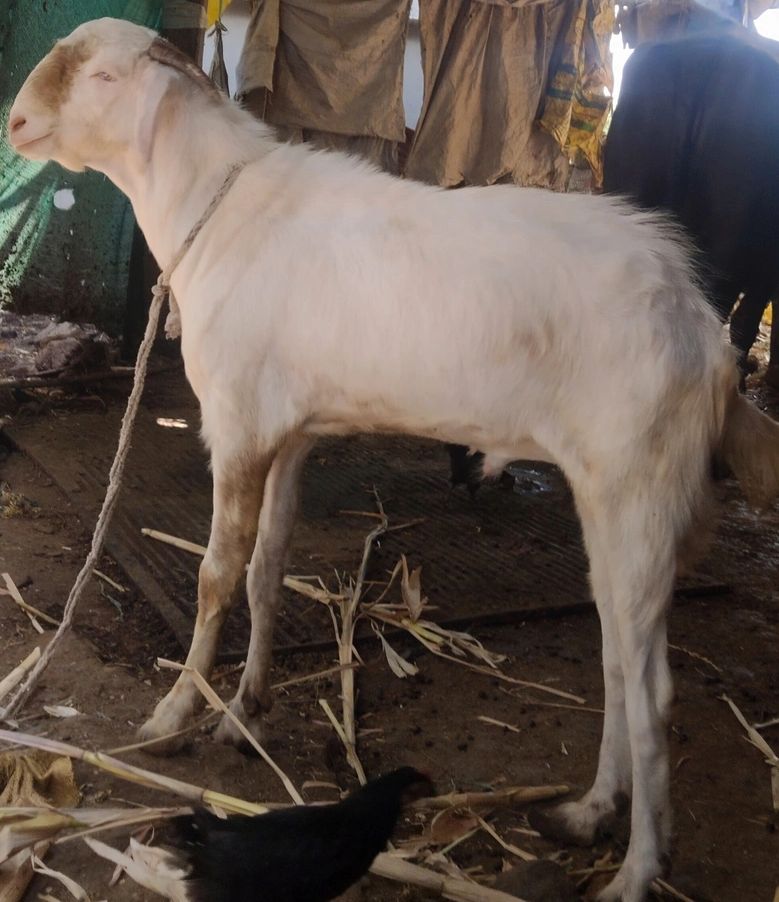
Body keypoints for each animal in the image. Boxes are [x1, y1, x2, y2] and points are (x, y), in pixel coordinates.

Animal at [9, 19, 779, 901]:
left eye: (103, 76)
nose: (17, 124)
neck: (219, 206)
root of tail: (702, 332)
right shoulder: (288, 432)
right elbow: (267, 570)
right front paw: (245, 710)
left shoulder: (236, 425)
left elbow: (215, 576)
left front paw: (173, 717)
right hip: (606, 493)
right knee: (618, 651)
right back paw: (588, 812)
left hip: (641, 483)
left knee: (652, 688)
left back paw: (635, 871)